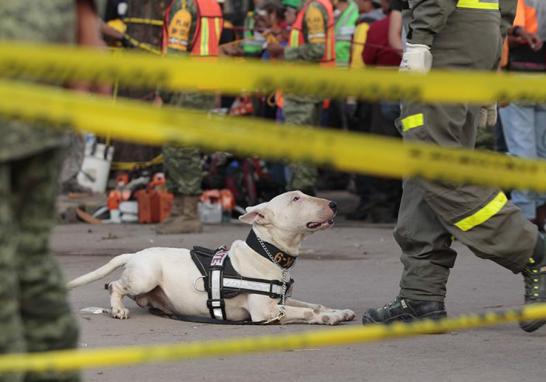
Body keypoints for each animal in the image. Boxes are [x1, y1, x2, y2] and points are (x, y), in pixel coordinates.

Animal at [67, 191, 352, 326]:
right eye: (295, 198)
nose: (334, 204)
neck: (268, 253)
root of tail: (135, 253)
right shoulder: (266, 311)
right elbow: (305, 311)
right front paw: (330, 318)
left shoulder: (281, 299)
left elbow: (312, 304)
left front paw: (338, 311)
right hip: (145, 277)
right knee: (115, 286)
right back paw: (118, 309)